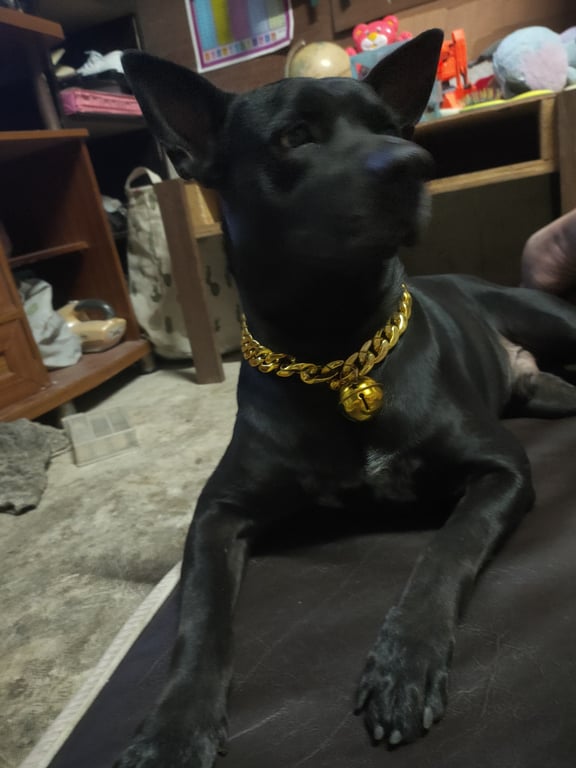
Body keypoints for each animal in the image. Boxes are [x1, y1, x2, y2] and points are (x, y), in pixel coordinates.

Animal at [118, 30, 576, 767]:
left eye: (390, 128)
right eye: (294, 136)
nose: (415, 163)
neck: (336, 354)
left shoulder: (501, 469)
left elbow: (443, 551)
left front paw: (404, 663)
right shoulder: (217, 513)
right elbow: (199, 617)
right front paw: (174, 727)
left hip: (549, 321)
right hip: (551, 395)